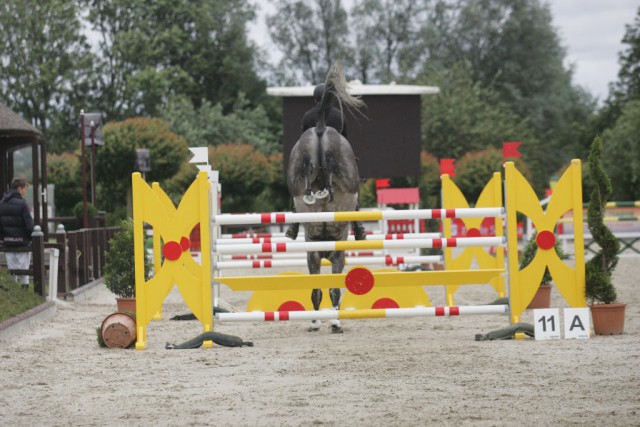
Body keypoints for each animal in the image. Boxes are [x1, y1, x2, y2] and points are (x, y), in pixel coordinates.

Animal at [286, 62, 364, 334]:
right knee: (331, 168)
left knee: (307, 170)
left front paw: (316, 321)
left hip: (301, 156)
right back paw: (323, 189)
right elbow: (333, 289)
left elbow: (317, 290)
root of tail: (321, 127)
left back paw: (314, 192)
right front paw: (333, 322)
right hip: (346, 171)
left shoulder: (313, 254)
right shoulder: (336, 254)